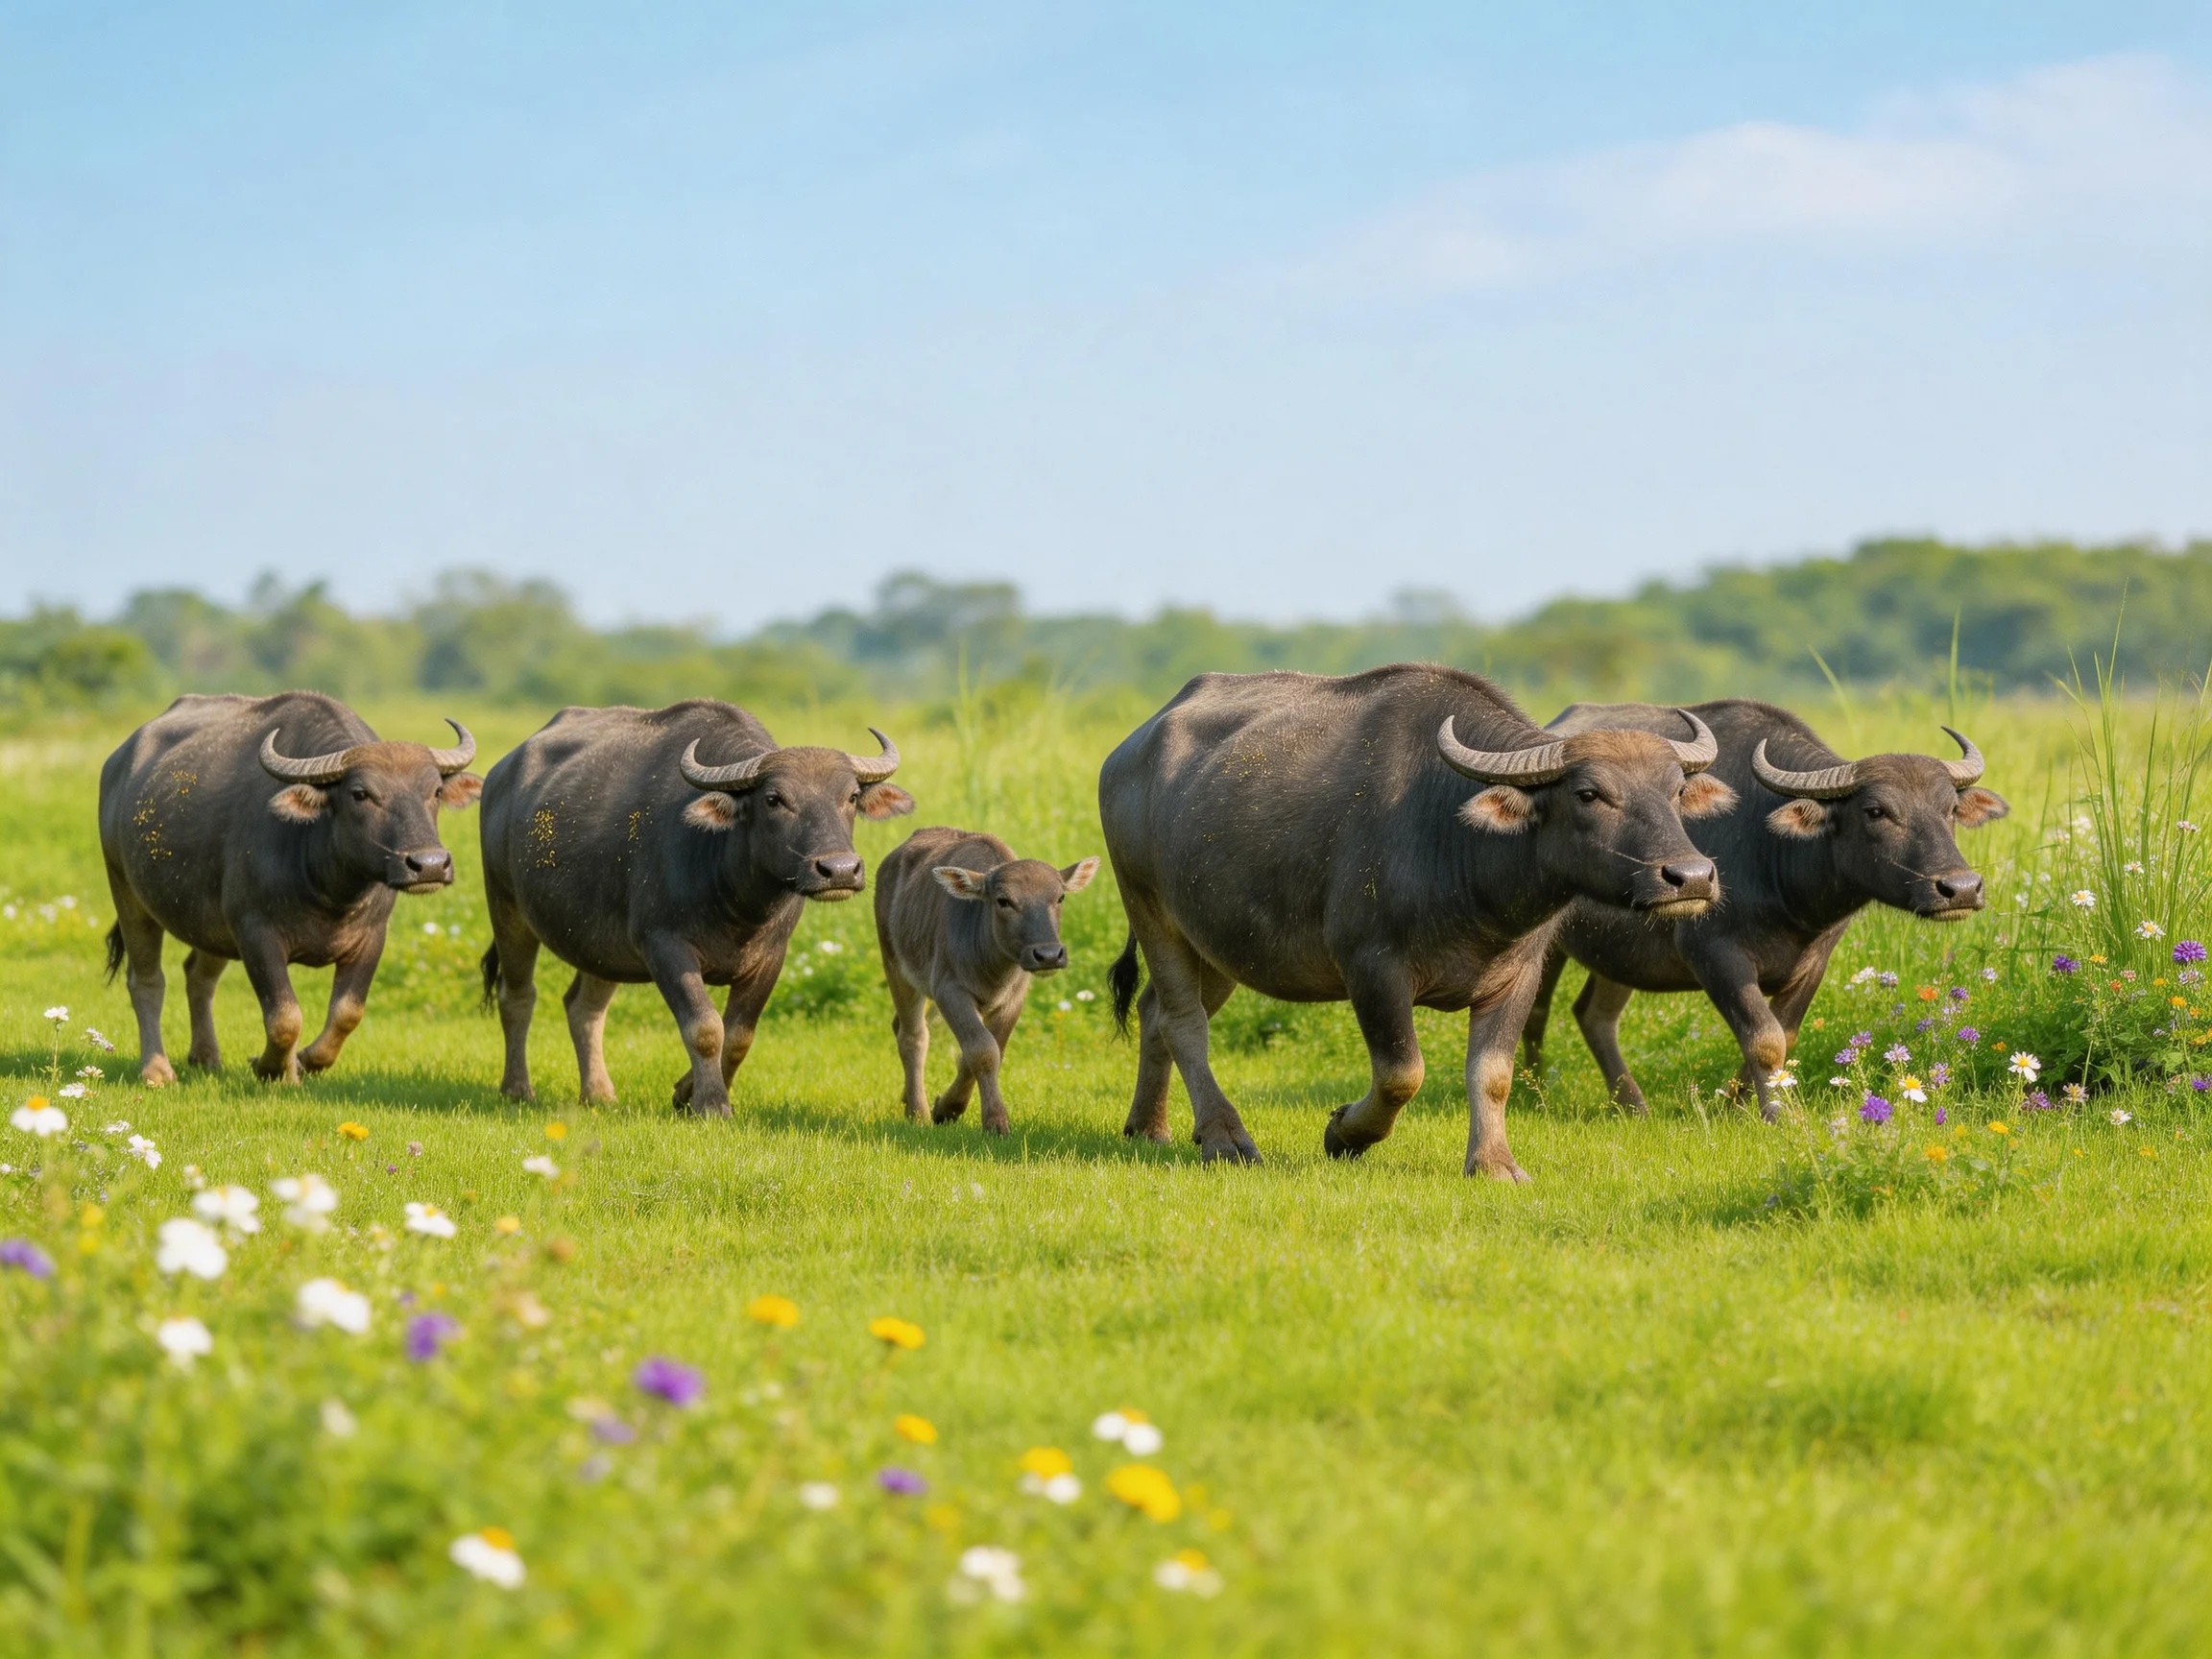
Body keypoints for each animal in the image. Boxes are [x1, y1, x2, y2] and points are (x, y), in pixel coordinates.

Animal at [98, 692, 481, 1085]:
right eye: (360, 793)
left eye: (435, 790)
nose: (429, 864)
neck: (329, 890)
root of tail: (118, 765)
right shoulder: (255, 932)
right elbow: (284, 1017)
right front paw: (272, 1069)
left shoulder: (372, 936)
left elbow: (348, 1013)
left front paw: (304, 1062)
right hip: (126, 891)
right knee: (146, 980)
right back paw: (156, 1070)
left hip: (211, 925)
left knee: (198, 976)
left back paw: (206, 1057)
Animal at [478, 700, 913, 1113]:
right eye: (774, 799)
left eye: (851, 796)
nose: (839, 870)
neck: (738, 904)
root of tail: (500, 775)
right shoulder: (665, 947)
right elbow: (705, 1028)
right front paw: (712, 1104)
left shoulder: (771, 957)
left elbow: (738, 1036)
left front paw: (687, 1094)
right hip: (506, 907)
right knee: (517, 995)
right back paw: (518, 1088)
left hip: (601, 944)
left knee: (583, 1007)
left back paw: (599, 1093)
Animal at [873, 827, 1100, 1133]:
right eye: (1003, 900)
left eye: (1060, 897)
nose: (1049, 955)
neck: (993, 971)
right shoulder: (949, 990)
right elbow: (982, 1050)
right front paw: (994, 1121)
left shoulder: (1013, 999)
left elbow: (988, 1051)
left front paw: (947, 1107)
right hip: (896, 964)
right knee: (913, 1035)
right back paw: (917, 1112)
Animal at [1100, 665, 1731, 1178]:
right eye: (1589, 793)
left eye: (1675, 791)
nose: (1692, 876)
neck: (1460, 849)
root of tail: (1129, 750)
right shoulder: (1371, 966)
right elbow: (1402, 1072)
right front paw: (1344, 1135)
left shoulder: (1520, 973)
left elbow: (1492, 1074)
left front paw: (1494, 1164)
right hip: (1149, 907)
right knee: (1184, 1021)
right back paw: (1226, 1139)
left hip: (1217, 941)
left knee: (1154, 1012)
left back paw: (1147, 1128)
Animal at [1521, 700, 2008, 1118]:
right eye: (1875, 810)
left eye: (1950, 809)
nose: (1960, 888)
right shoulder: (1713, 953)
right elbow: (1764, 1038)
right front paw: (1776, 1113)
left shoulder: (1815, 960)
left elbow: (1783, 1034)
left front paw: (1735, 1104)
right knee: (1537, 1011)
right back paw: (1537, 1095)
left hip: (1620, 955)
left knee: (1594, 1015)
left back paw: (1632, 1105)